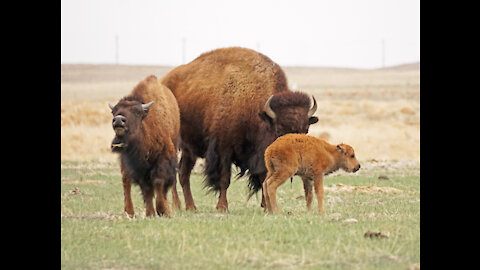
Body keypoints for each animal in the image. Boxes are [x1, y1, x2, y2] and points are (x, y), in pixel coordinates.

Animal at [109, 75, 182, 218]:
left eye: (137, 112)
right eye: (114, 111)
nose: (119, 120)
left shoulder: (163, 159)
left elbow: (159, 182)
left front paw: (163, 210)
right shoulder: (136, 167)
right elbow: (146, 189)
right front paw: (150, 213)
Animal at [161, 47, 318, 211]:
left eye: (306, 130)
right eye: (279, 130)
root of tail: (164, 82)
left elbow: (264, 177)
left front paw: (265, 206)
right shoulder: (223, 150)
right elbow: (225, 179)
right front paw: (222, 206)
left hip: (189, 149)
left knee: (183, 173)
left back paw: (191, 206)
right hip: (174, 144)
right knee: (175, 173)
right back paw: (178, 205)